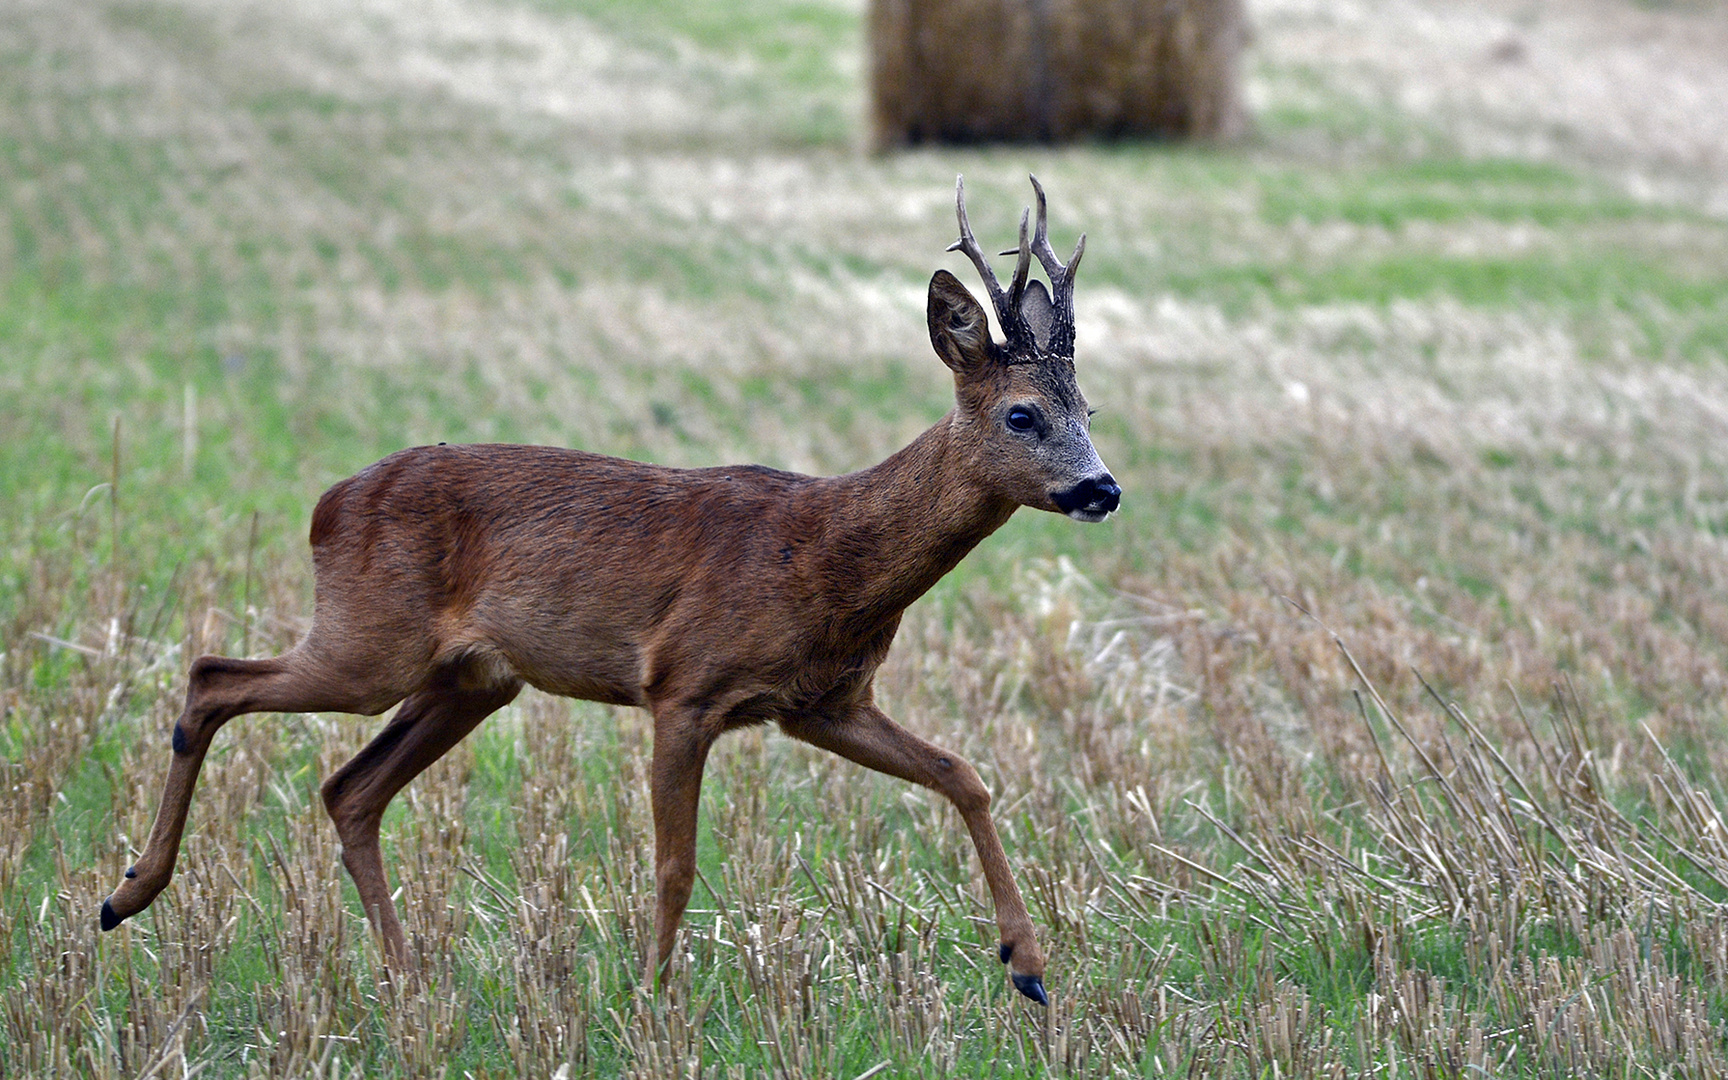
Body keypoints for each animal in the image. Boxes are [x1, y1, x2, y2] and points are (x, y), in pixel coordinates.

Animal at [101, 174, 1119, 1002]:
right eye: (1021, 414)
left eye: (1089, 409)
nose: (1102, 489)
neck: (832, 558)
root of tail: (328, 503)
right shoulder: (684, 685)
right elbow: (675, 863)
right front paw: (654, 998)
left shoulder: (821, 702)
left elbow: (964, 775)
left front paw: (1027, 965)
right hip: (370, 640)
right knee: (213, 676)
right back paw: (128, 895)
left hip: (470, 679)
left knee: (348, 788)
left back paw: (407, 975)